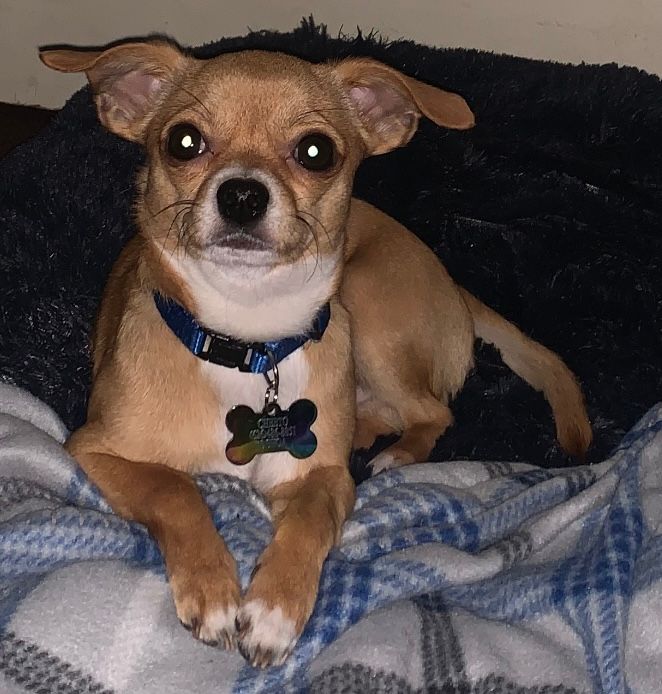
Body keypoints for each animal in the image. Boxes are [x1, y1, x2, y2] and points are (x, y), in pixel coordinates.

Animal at [40, 38, 592, 667]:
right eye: (183, 141)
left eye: (316, 151)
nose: (242, 194)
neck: (249, 342)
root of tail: (455, 286)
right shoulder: (94, 449)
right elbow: (174, 489)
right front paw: (213, 591)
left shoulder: (324, 480)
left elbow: (309, 520)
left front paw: (276, 609)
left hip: (366, 307)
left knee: (434, 411)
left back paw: (396, 453)